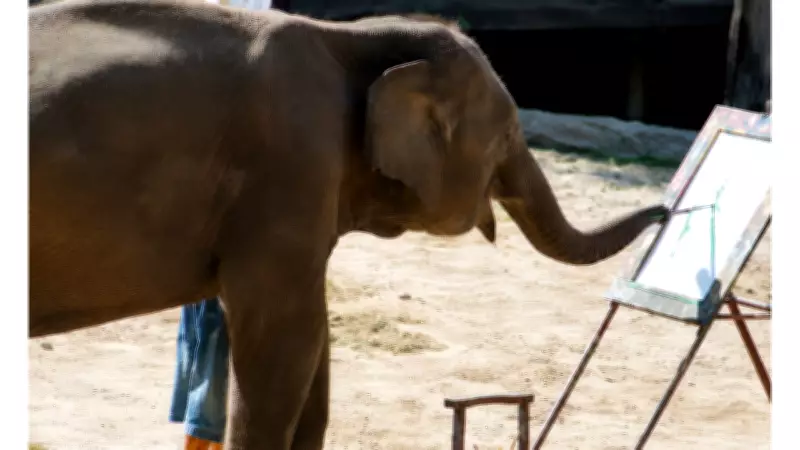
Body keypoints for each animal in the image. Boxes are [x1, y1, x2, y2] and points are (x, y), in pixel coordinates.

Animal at [29, 1, 669, 449]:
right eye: (510, 134)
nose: (667, 210)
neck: (350, 36)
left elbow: (315, 342)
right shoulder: (291, 167)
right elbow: (284, 339)